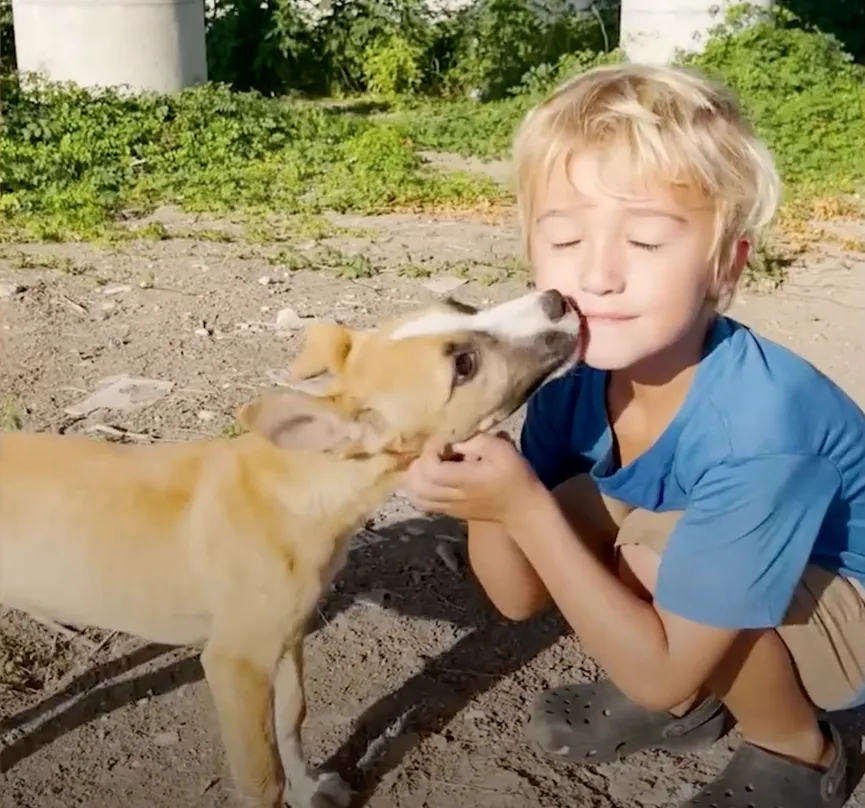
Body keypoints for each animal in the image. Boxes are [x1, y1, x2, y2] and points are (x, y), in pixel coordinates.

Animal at [1, 290, 580, 808]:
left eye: (462, 307)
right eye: (464, 365)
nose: (557, 299)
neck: (303, 481)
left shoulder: (288, 638)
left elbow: (292, 720)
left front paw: (308, 788)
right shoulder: (236, 665)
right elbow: (262, 779)